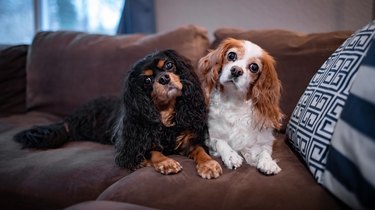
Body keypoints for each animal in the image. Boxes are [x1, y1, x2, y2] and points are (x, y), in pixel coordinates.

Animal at [14, 49, 223, 179]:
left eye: (169, 65)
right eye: (147, 80)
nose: (164, 78)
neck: (164, 113)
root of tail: (70, 118)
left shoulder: (188, 141)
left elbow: (200, 150)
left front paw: (208, 165)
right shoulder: (135, 141)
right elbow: (152, 151)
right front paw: (166, 162)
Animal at [200, 38, 282, 175]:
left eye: (254, 67)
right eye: (231, 55)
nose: (236, 70)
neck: (234, 100)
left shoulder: (264, 140)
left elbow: (264, 151)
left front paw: (268, 162)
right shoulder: (212, 137)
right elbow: (221, 142)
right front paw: (231, 156)